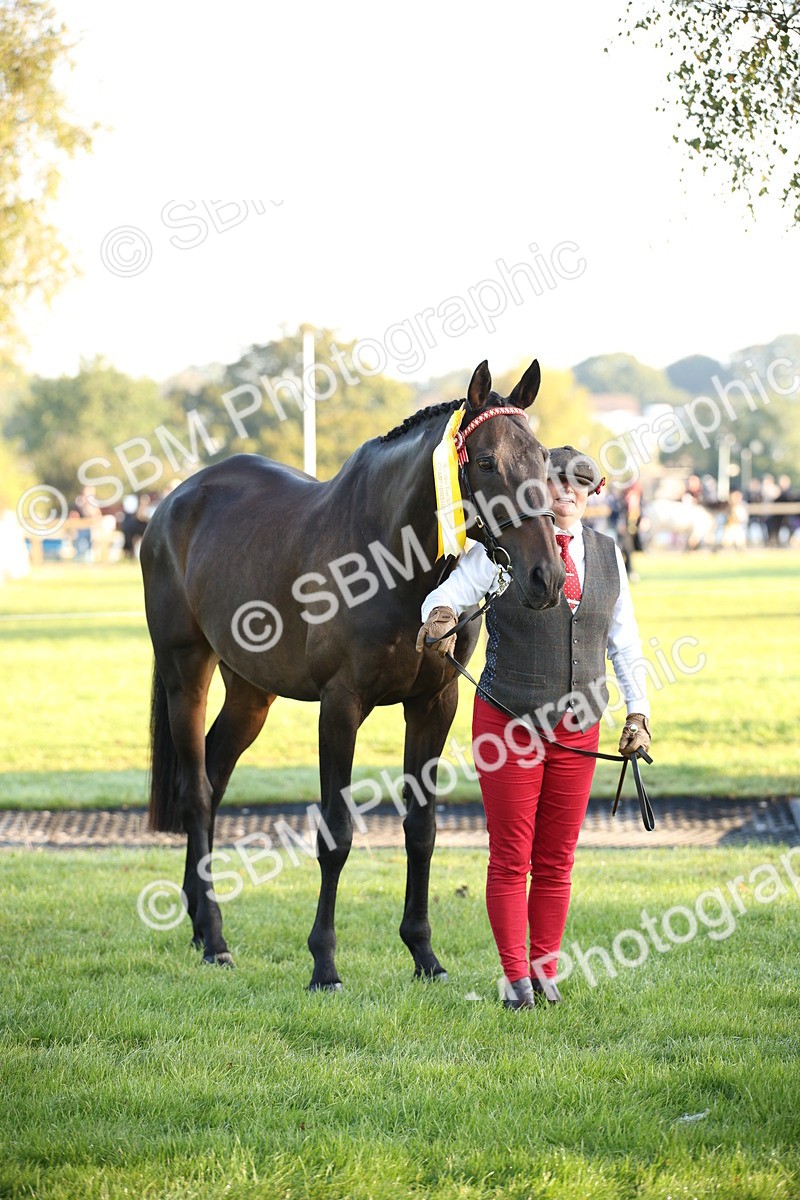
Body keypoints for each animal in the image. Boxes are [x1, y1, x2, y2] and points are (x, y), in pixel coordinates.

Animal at [140, 358, 565, 989]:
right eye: (486, 462)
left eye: (540, 457)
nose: (547, 577)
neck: (391, 559)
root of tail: (173, 502)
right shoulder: (340, 706)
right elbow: (336, 833)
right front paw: (324, 962)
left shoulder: (433, 703)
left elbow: (422, 829)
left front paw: (423, 953)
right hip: (184, 673)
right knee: (196, 792)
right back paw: (214, 936)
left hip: (251, 692)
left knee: (214, 779)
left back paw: (198, 919)